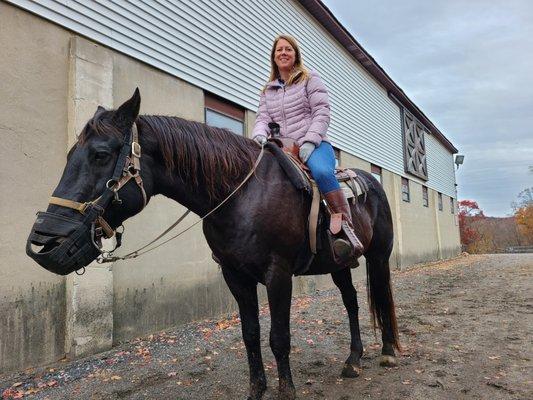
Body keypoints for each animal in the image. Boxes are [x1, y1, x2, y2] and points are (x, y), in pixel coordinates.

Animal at [27, 90, 396, 400]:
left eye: (101, 154)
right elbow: (250, 334)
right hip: (339, 264)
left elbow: (279, 338)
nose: (44, 239)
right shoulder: (234, 275)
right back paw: (353, 360)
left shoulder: (278, 274)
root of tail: (372, 182)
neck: (242, 194)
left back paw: (389, 351)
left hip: (378, 256)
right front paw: (256, 391)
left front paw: (285, 392)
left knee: (380, 293)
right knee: (351, 302)